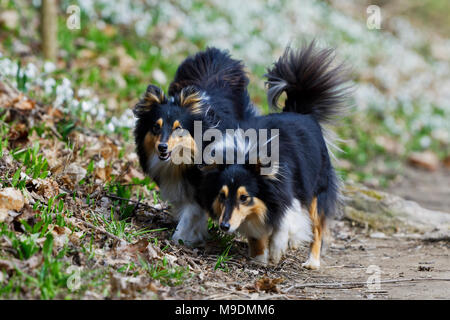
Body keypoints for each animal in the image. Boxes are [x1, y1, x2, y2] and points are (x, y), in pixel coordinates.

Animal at [132, 47, 255, 245]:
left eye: (178, 128)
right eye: (155, 127)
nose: (162, 147)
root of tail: (217, 53)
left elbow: (192, 213)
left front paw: (180, 239)